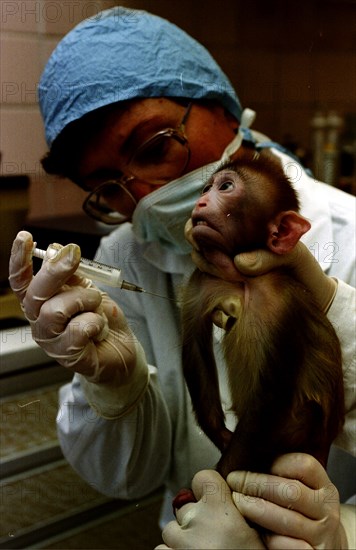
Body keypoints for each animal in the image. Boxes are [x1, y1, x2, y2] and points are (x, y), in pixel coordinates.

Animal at [182, 149, 344, 480]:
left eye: (226, 187)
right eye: (206, 189)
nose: (201, 202)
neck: (244, 282)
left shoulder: (281, 305)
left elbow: (270, 399)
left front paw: (218, 479)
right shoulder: (202, 281)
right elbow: (195, 347)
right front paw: (221, 435)